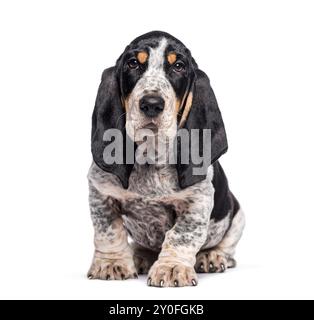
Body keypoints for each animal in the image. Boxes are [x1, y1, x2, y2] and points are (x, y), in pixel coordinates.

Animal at [87, 31, 245, 288]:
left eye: (179, 66)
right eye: (133, 63)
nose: (151, 104)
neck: (150, 156)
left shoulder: (198, 201)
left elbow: (181, 235)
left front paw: (171, 268)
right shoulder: (100, 191)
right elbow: (108, 230)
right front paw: (111, 263)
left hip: (237, 213)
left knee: (227, 245)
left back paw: (211, 256)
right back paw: (140, 256)